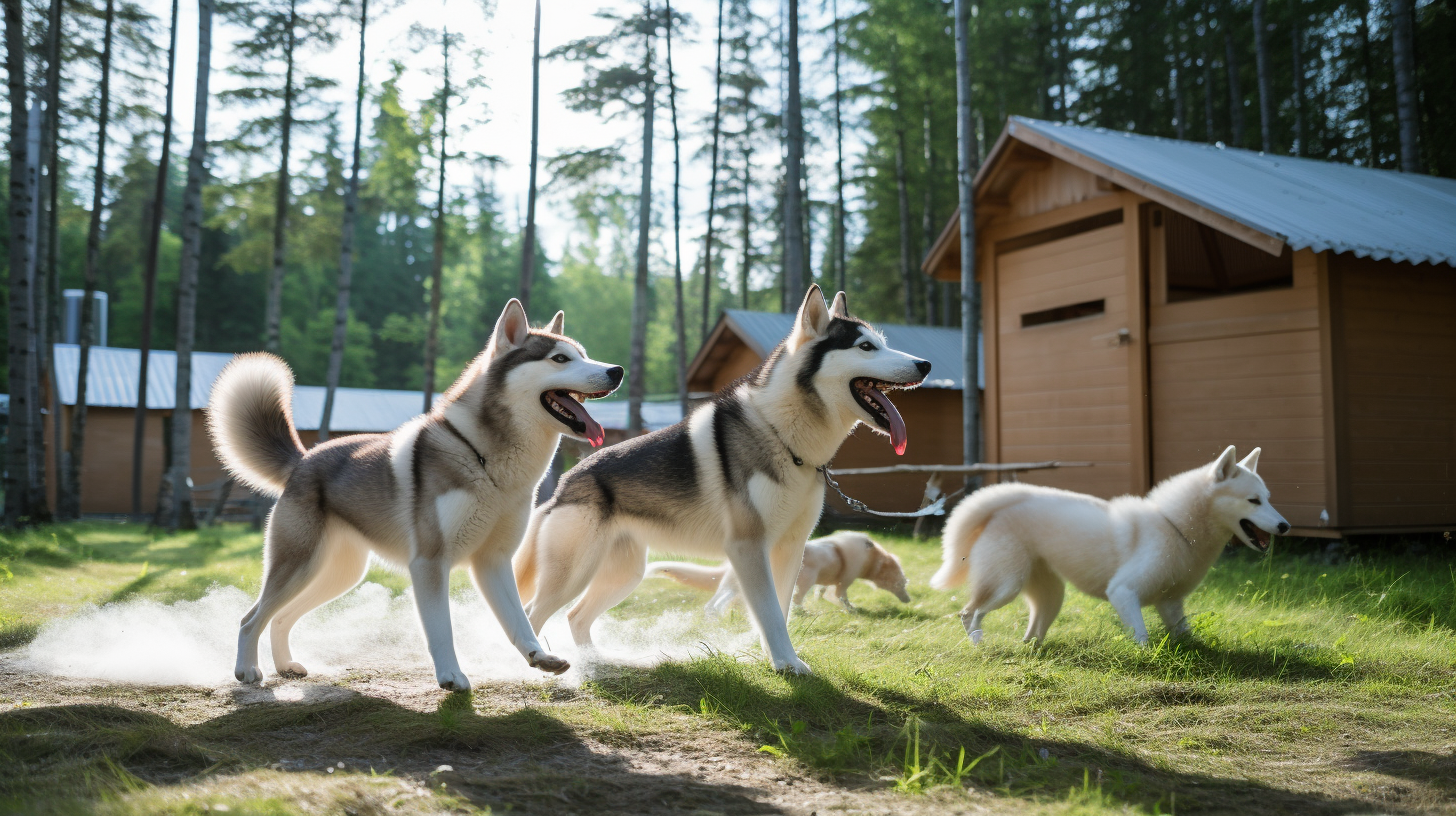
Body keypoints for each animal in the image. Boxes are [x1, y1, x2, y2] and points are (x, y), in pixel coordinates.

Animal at [649, 536, 908, 612]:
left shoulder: (829, 580)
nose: (908, 599)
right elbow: (841, 594)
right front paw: (851, 609)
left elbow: (824, 591)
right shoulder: (845, 579)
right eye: (901, 583)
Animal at [931, 445, 1287, 644]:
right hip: (1006, 586)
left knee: (1031, 633)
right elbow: (1142, 638)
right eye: (1253, 501)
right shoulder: (1123, 593)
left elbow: (1185, 635)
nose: (1285, 526)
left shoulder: (1171, 604)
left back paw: (1030, 650)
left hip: (1050, 596)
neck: (1172, 525)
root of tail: (1001, 507)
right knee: (969, 613)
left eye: (1268, 498)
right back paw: (979, 646)